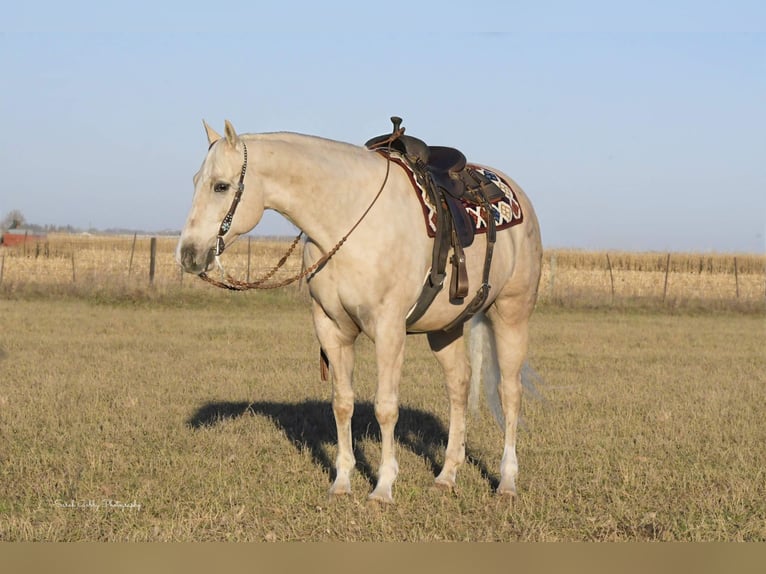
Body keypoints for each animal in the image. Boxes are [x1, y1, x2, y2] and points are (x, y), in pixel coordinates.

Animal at [176, 119, 544, 502]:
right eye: (196, 181)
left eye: (221, 186)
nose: (188, 254)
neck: (348, 220)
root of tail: (514, 192)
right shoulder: (331, 328)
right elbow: (342, 403)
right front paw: (342, 482)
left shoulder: (388, 330)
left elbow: (386, 407)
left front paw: (383, 487)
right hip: (445, 329)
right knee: (459, 385)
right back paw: (446, 476)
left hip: (511, 314)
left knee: (510, 392)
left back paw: (507, 482)